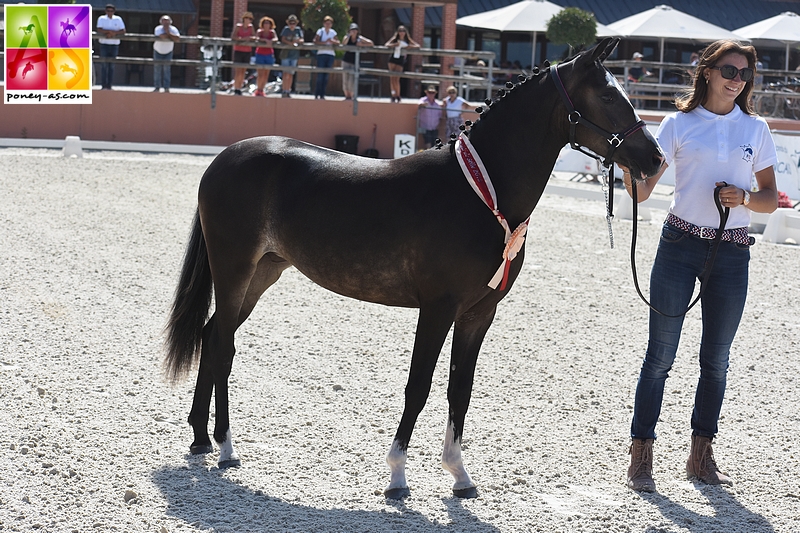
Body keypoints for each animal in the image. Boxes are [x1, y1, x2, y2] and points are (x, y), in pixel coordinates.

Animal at [164, 37, 664, 498]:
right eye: (607, 96)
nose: (654, 158)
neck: (480, 193)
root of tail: (223, 160)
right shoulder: (437, 309)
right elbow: (418, 386)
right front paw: (397, 476)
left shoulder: (479, 314)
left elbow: (460, 389)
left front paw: (460, 475)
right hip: (234, 270)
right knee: (223, 345)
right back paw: (226, 446)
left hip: (261, 274)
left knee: (212, 336)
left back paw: (200, 437)